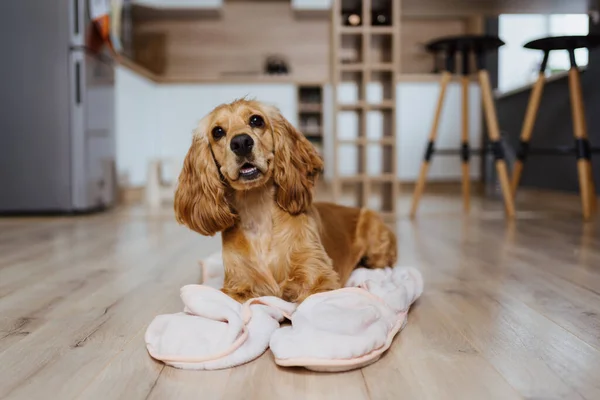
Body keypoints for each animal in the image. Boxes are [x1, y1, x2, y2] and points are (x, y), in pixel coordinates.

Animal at [173, 98, 398, 302]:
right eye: (217, 132)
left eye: (256, 120)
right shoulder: (239, 285)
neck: (258, 212)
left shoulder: (317, 276)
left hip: (377, 246)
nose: (241, 142)